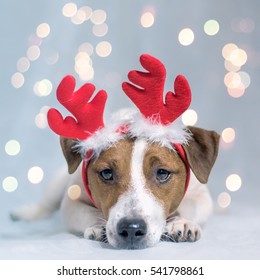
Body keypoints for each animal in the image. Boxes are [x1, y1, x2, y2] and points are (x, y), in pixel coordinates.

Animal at [11, 54, 220, 249]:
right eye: (106, 173)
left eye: (162, 173)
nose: (131, 229)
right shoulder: (72, 200)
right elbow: (86, 212)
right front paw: (98, 227)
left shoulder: (201, 195)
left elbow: (191, 206)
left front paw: (182, 222)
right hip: (59, 181)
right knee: (46, 205)